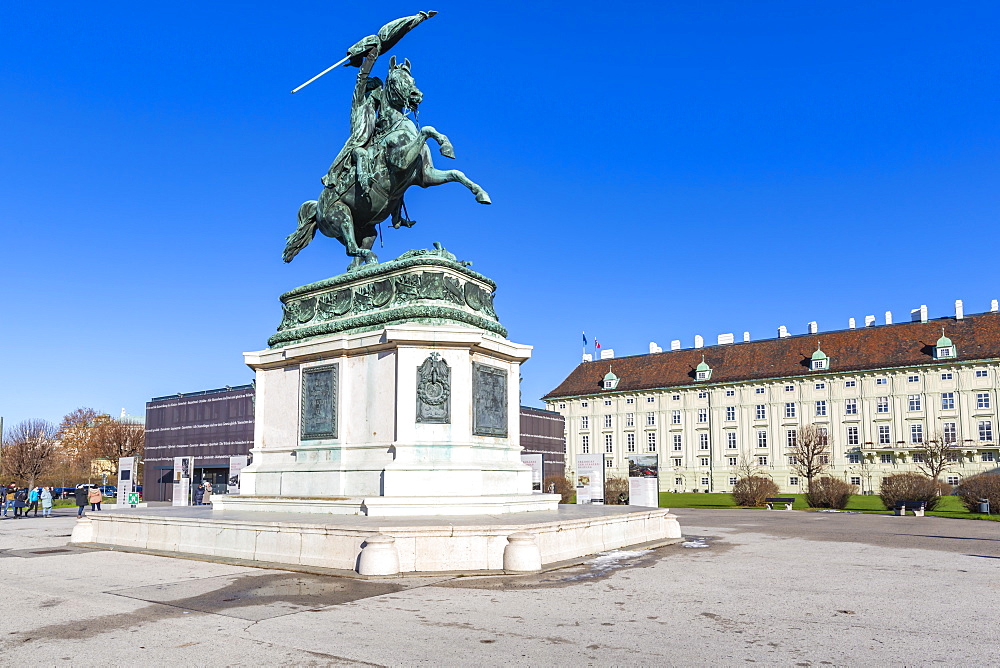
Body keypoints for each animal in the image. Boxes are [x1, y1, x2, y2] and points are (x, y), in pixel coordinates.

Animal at [284, 53, 490, 270]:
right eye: (394, 80)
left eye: (412, 79)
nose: (417, 95)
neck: (398, 127)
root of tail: (317, 210)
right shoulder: (401, 160)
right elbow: (427, 129)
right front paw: (445, 145)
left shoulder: (426, 176)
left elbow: (456, 173)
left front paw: (481, 193)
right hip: (341, 216)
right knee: (351, 247)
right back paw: (371, 257)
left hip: (366, 230)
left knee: (356, 254)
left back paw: (366, 265)